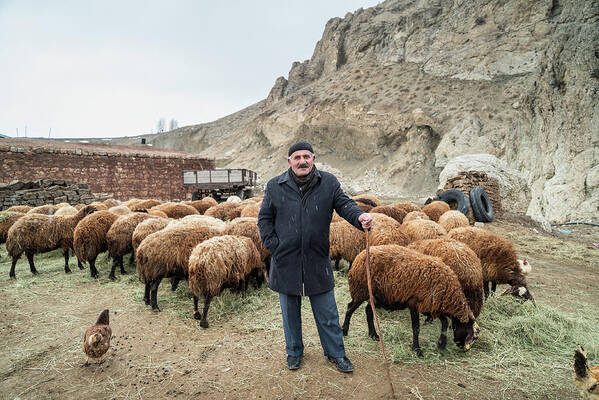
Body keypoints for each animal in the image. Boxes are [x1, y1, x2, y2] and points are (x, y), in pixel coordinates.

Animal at [344, 247, 480, 356]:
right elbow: (416, 328)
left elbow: (445, 322)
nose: (464, 349)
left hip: (377, 297)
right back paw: (345, 330)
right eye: (473, 336)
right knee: (350, 308)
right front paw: (417, 349)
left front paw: (441, 344)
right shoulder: (415, 304)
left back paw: (374, 335)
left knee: (368, 310)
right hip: (361, 290)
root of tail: (360, 255)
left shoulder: (432, 306)